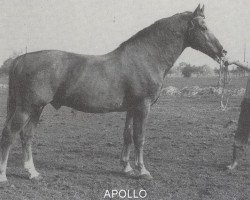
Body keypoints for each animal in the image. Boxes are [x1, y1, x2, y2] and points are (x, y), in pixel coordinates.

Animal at [0, 3, 225, 182]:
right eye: (203, 27)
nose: (223, 52)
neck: (146, 57)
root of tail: (20, 59)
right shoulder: (143, 106)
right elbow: (140, 137)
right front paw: (143, 171)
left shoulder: (131, 108)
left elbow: (127, 135)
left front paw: (126, 167)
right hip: (27, 107)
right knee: (10, 133)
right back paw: (3, 175)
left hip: (37, 108)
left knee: (26, 136)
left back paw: (33, 173)